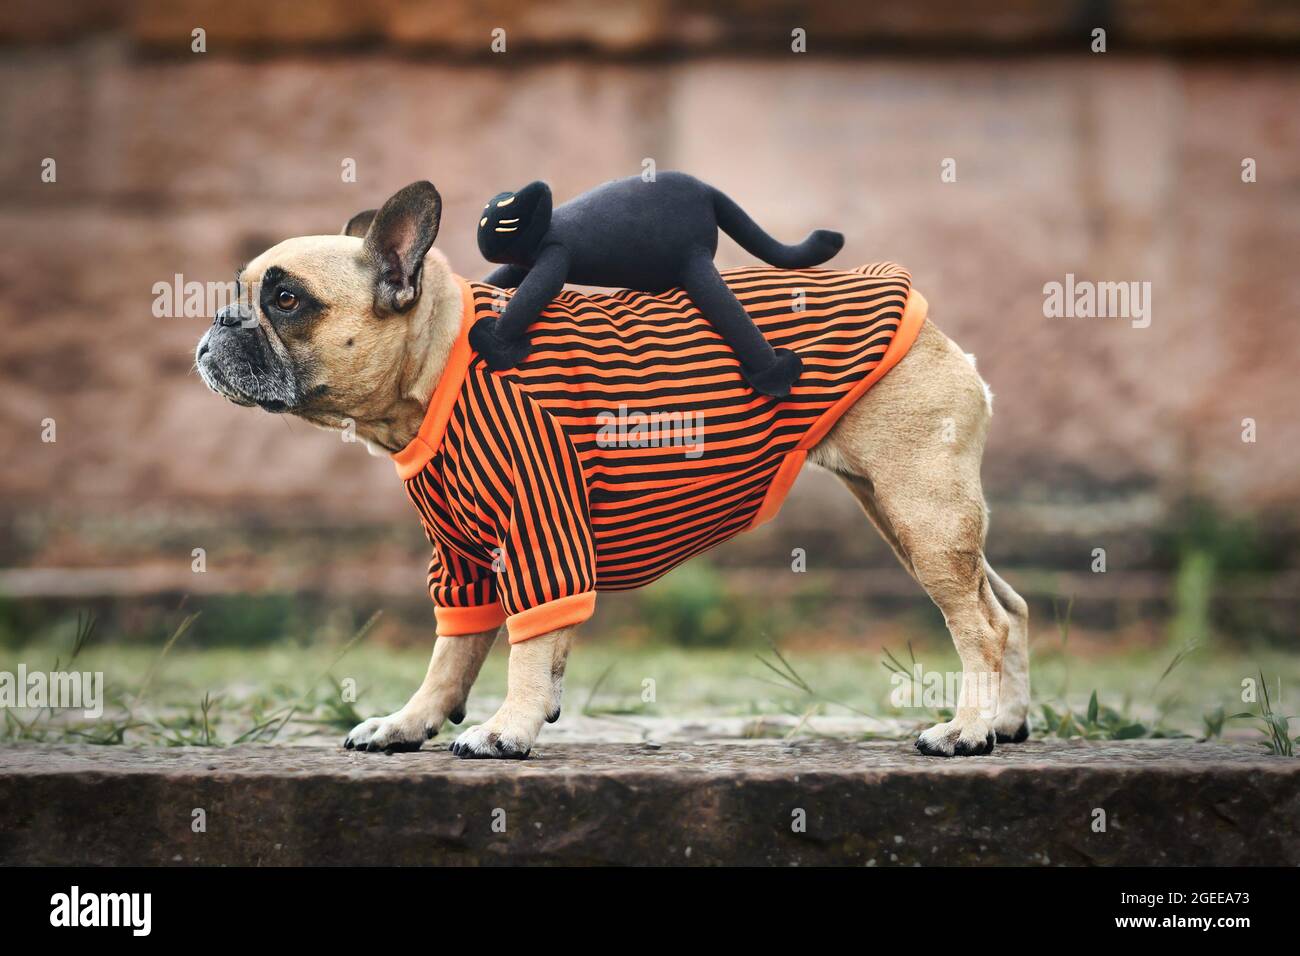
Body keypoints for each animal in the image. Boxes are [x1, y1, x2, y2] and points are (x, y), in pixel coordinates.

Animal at [195, 183, 1024, 759]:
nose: (217, 325)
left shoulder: (540, 529)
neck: (439, 365)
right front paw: (411, 723)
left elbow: (526, 645)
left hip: (921, 506)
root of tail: (927, 318)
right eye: (238, 291)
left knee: (978, 624)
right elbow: (454, 651)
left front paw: (506, 729)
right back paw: (1007, 723)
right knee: (1006, 609)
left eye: (286, 299)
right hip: (905, 512)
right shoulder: (463, 558)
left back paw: (965, 731)